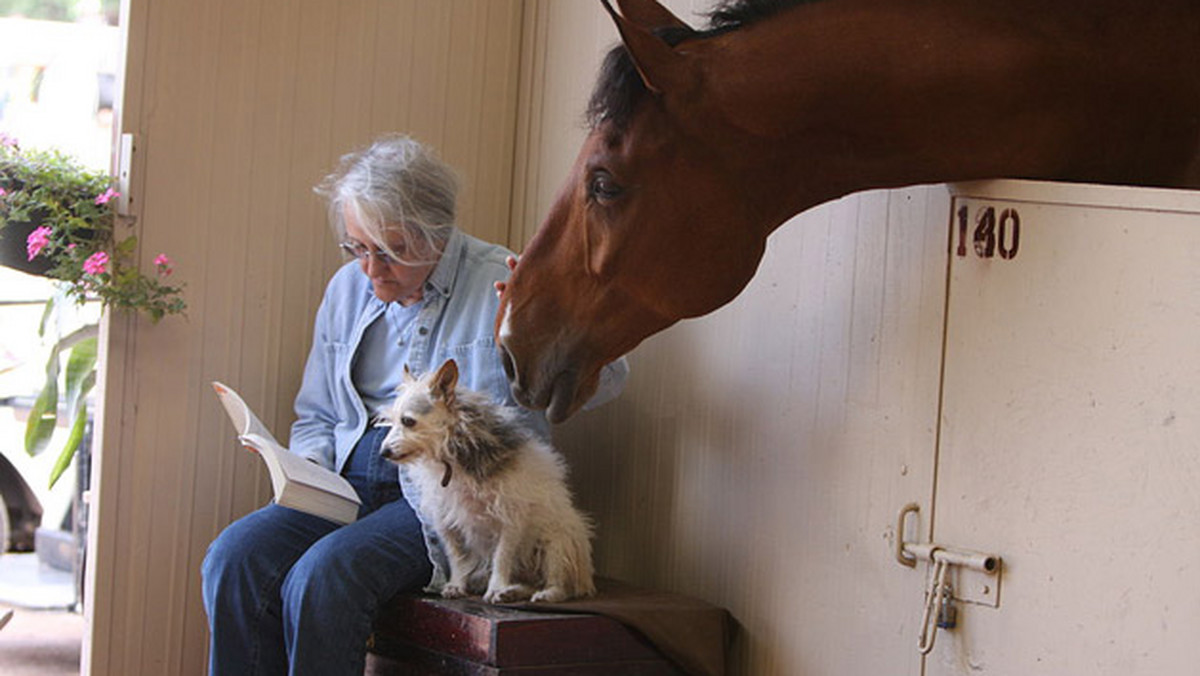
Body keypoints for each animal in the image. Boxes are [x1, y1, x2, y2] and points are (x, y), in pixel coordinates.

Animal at [379, 360, 595, 602]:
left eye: (408, 421)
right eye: (390, 421)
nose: (383, 452)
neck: (452, 458)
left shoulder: (510, 520)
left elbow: (502, 557)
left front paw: (495, 587)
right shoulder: (446, 522)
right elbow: (456, 558)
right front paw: (457, 584)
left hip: (557, 543)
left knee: (559, 585)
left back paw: (544, 593)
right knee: (530, 584)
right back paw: (513, 591)